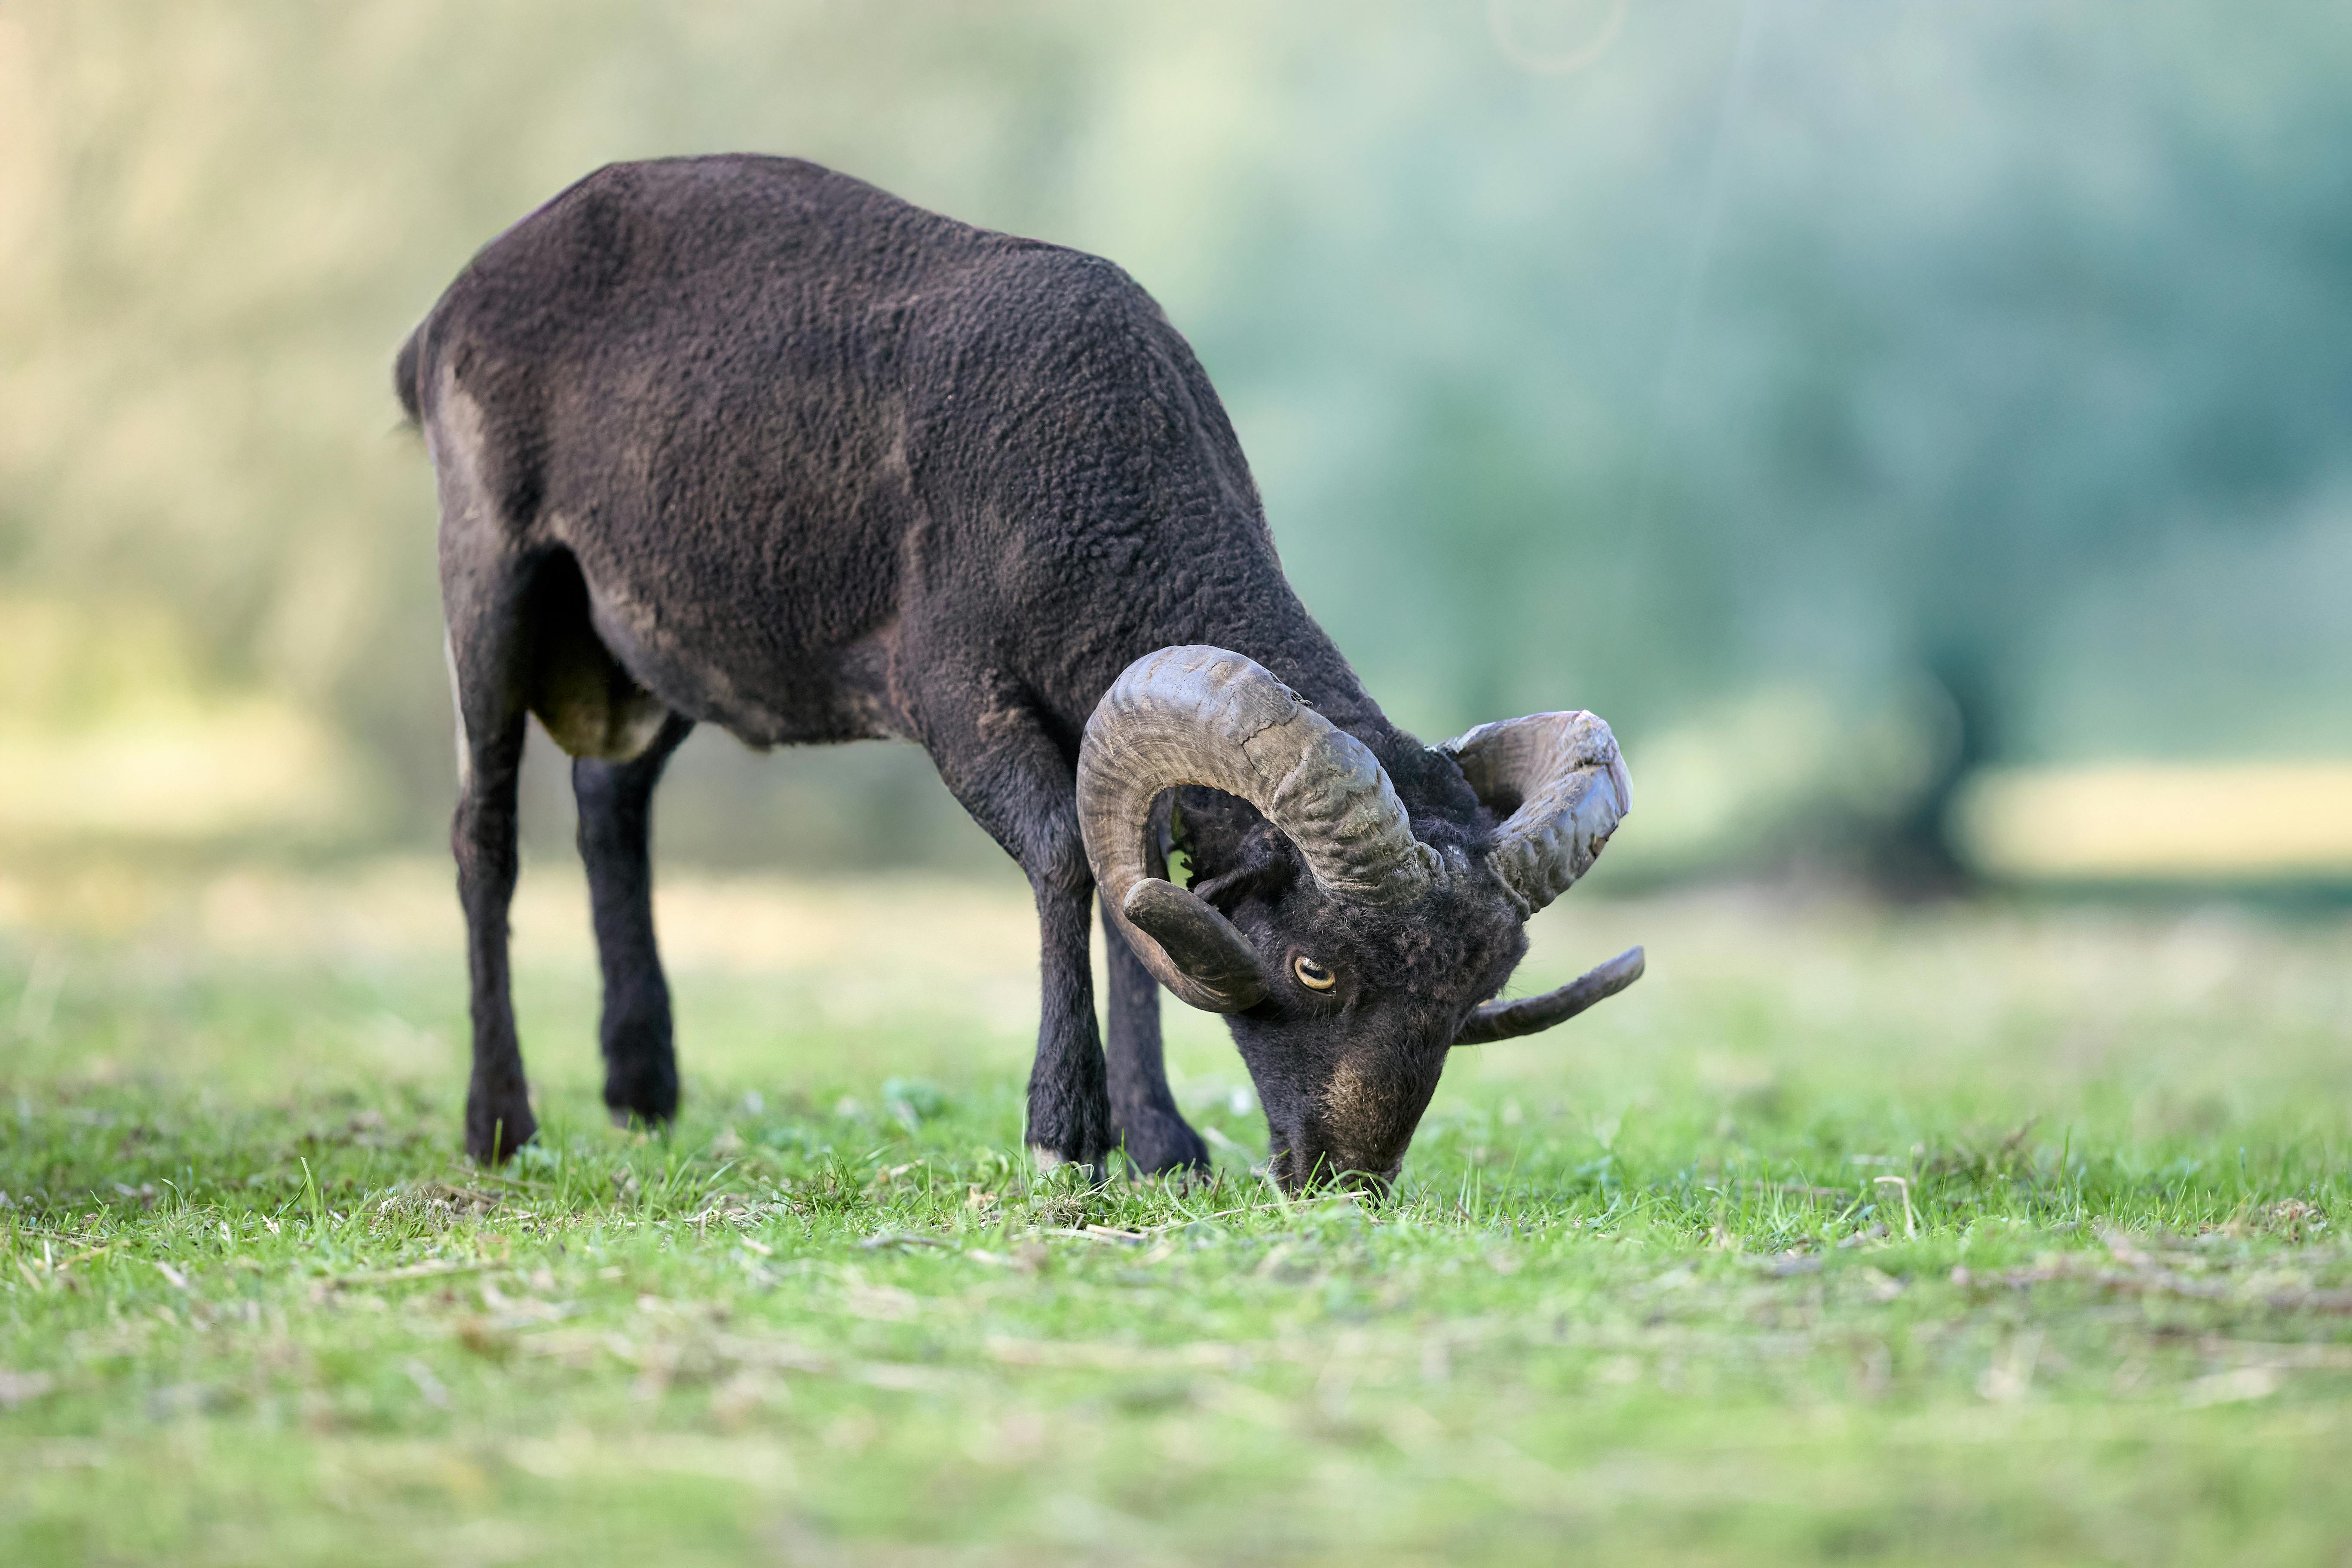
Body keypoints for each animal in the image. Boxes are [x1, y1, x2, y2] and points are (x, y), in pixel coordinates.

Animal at [396, 154, 1639, 1191]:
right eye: (1316, 967)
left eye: (1473, 989)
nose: (1347, 1182)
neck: (1114, 480)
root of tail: (448, 309)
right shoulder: (955, 697)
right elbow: (1067, 860)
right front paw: (1066, 1137)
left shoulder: (1107, 719)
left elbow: (1137, 895)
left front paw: (1164, 1143)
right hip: (490, 568)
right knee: (483, 834)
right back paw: (500, 1123)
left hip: (650, 652)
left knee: (610, 800)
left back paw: (642, 1091)